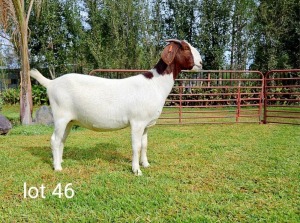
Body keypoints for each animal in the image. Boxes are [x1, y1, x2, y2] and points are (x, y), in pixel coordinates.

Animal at [30, 39, 203, 176]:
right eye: (185, 47)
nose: (201, 63)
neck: (155, 83)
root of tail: (51, 83)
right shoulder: (137, 122)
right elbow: (136, 146)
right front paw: (136, 170)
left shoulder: (146, 125)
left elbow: (145, 145)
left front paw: (146, 164)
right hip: (60, 116)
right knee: (54, 140)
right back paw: (57, 168)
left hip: (69, 121)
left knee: (62, 140)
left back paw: (60, 162)